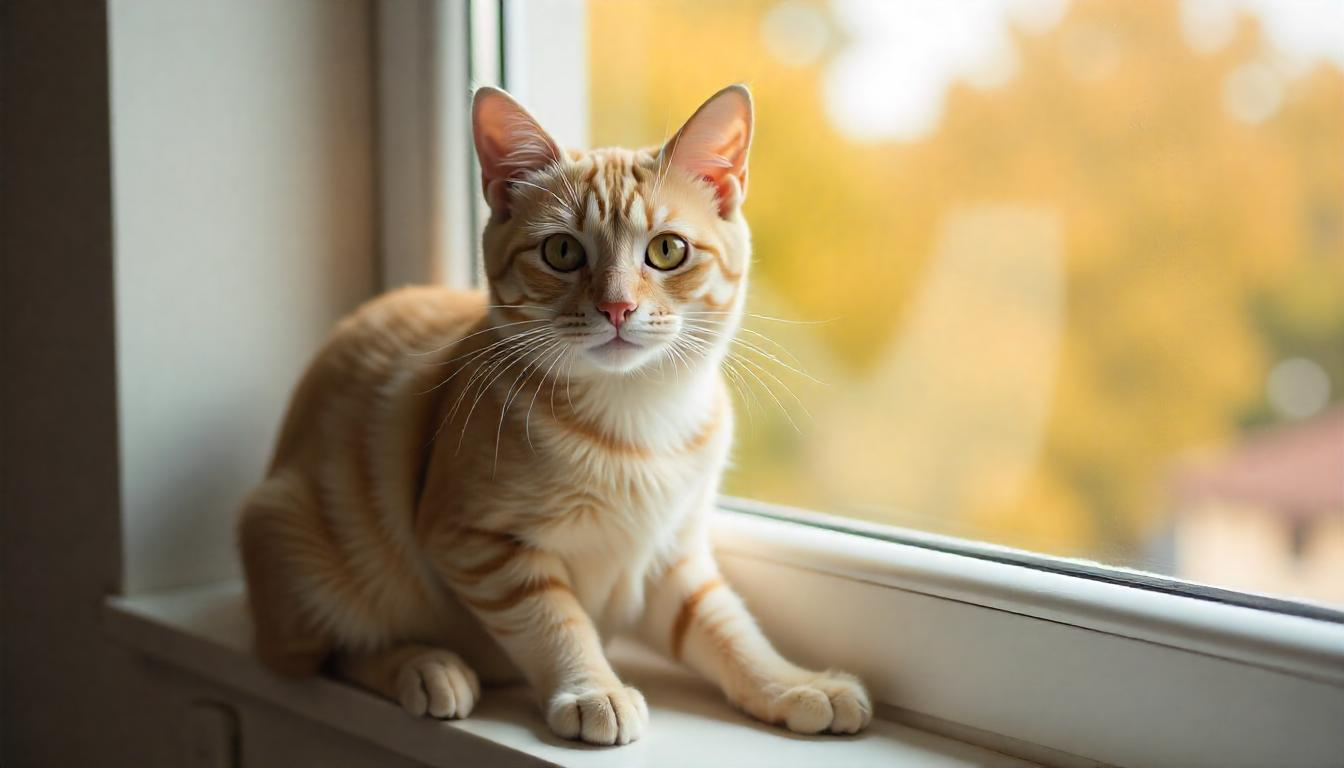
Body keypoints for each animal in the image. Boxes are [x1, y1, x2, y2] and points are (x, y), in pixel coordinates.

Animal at [239, 82, 870, 747]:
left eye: (667, 250)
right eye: (562, 250)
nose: (617, 307)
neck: (637, 421)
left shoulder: (672, 556)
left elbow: (727, 627)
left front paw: (792, 683)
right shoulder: (477, 542)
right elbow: (553, 619)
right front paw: (594, 689)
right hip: (293, 543)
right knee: (329, 653)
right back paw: (424, 666)